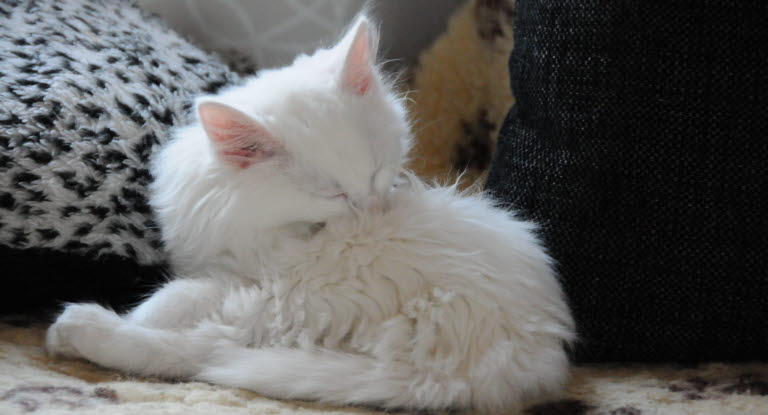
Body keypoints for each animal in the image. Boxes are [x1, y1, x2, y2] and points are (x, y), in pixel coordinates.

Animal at [46, 15, 576, 412]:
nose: (373, 211)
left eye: (377, 172)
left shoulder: (246, 277)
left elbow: (174, 301)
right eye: (333, 194)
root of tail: (520, 362)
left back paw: (74, 329)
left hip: (295, 298)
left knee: (201, 350)